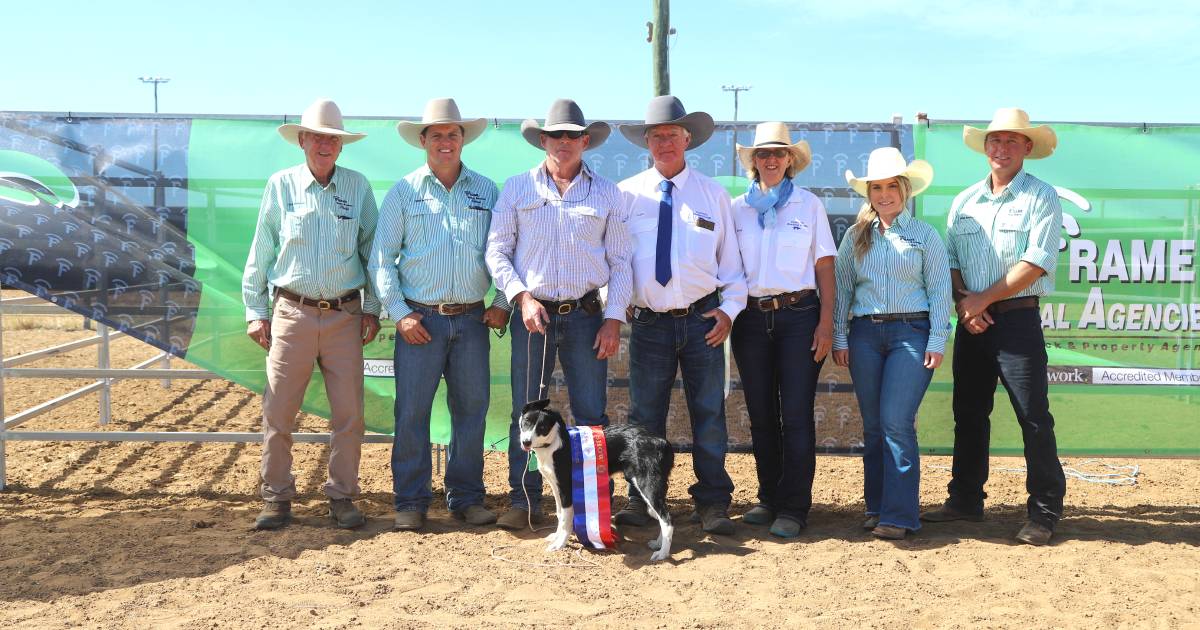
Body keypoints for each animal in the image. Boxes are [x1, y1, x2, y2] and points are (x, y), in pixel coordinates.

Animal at [518, 398, 676, 559]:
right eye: (526, 421)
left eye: (542, 427)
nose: (526, 442)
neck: (552, 444)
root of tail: (662, 442)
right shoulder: (556, 487)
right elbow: (559, 514)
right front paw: (556, 537)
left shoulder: (566, 489)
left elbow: (565, 520)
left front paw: (559, 544)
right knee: (663, 517)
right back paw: (658, 543)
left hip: (648, 484)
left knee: (667, 520)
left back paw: (662, 553)